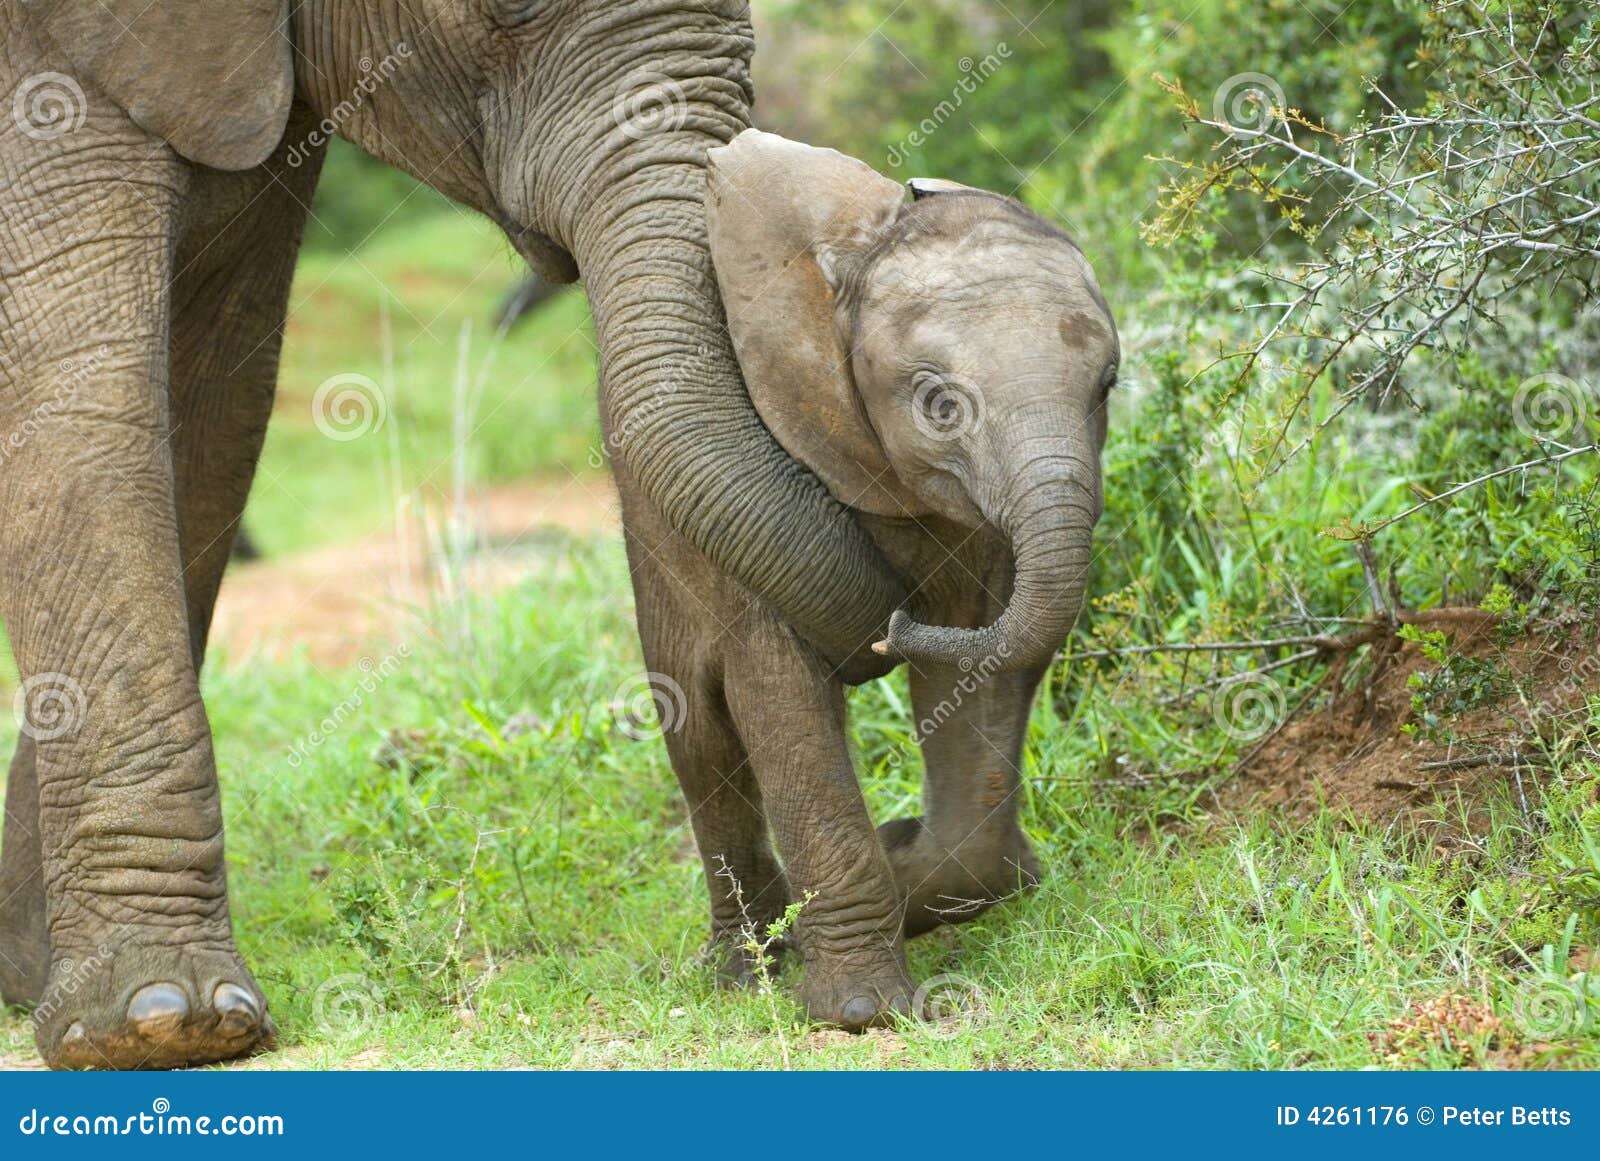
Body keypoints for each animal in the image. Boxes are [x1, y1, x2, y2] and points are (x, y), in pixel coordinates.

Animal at [615, 130, 1117, 1027]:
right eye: (939, 406)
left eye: (1108, 386)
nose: (890, 628)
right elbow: (778, 692)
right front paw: (862, 1012)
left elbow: (983, 664)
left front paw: (917, 861)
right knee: (701, 738)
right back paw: (746, 967)